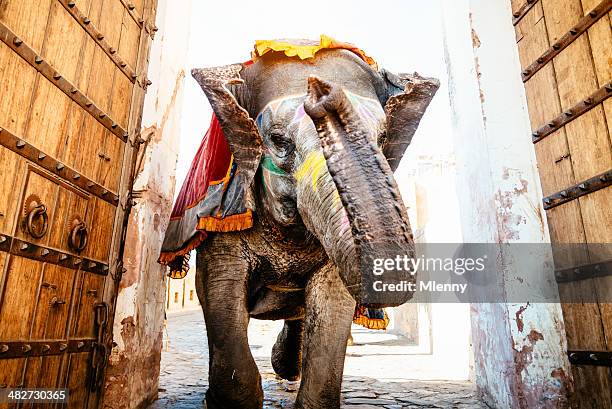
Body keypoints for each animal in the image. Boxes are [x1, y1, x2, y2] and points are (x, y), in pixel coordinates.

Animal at [189, 41, 438, 408]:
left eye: (382, 138)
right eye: (278, 140)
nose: (321, 89)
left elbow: (332, 300)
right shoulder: (226, 211)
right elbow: (219, 289)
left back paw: (287, 367)